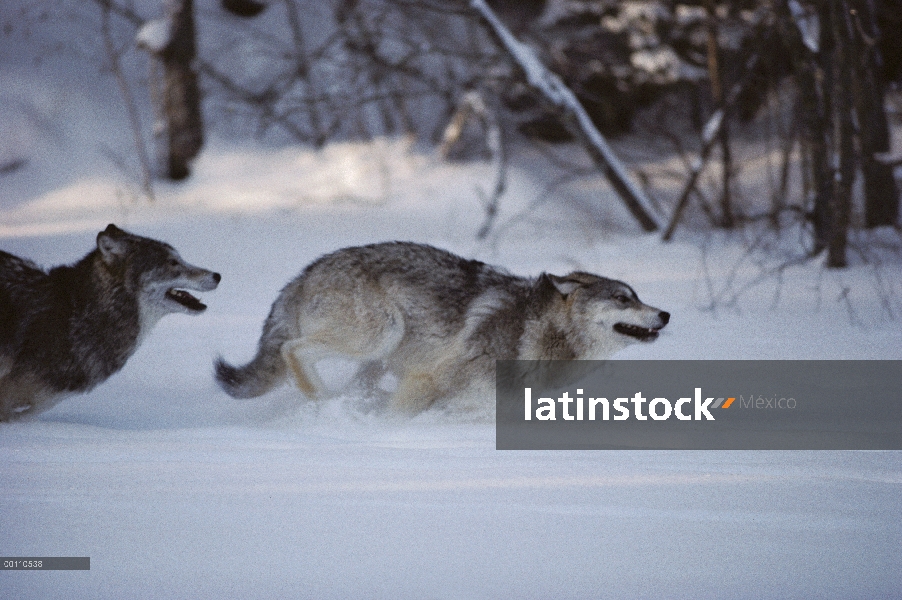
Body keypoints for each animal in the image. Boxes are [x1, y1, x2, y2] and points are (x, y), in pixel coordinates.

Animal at [217, 239, 672, 412]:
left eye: (636, 296)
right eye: (623, 298)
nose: (666, 314)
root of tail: (306, 271)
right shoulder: (429, 380)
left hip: (379, 358)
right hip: (380, 335)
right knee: (292, 350)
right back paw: (324, 404)